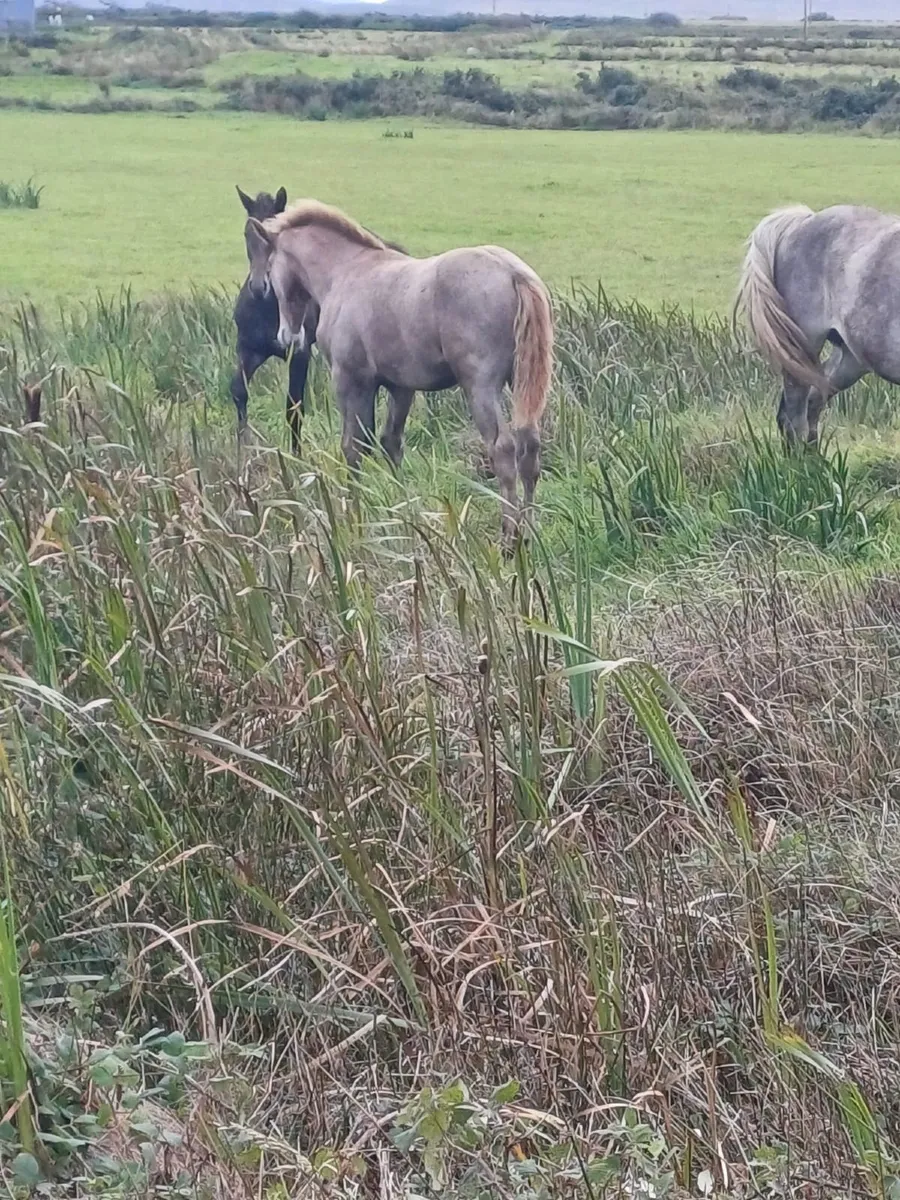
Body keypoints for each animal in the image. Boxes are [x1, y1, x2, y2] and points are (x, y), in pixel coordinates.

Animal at [243, 199, 553, 545]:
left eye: (270, 268)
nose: (287, 337)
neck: (346, 272)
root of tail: (512, 272)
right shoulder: (401, 387)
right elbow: (391, 442)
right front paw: (402, 510)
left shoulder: (351, 380)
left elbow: (354, 446)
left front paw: (354, 516)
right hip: (522, 383)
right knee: (529, 448)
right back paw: (530, 531)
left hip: (480, 387)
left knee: (502, 449)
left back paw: (510, 537)